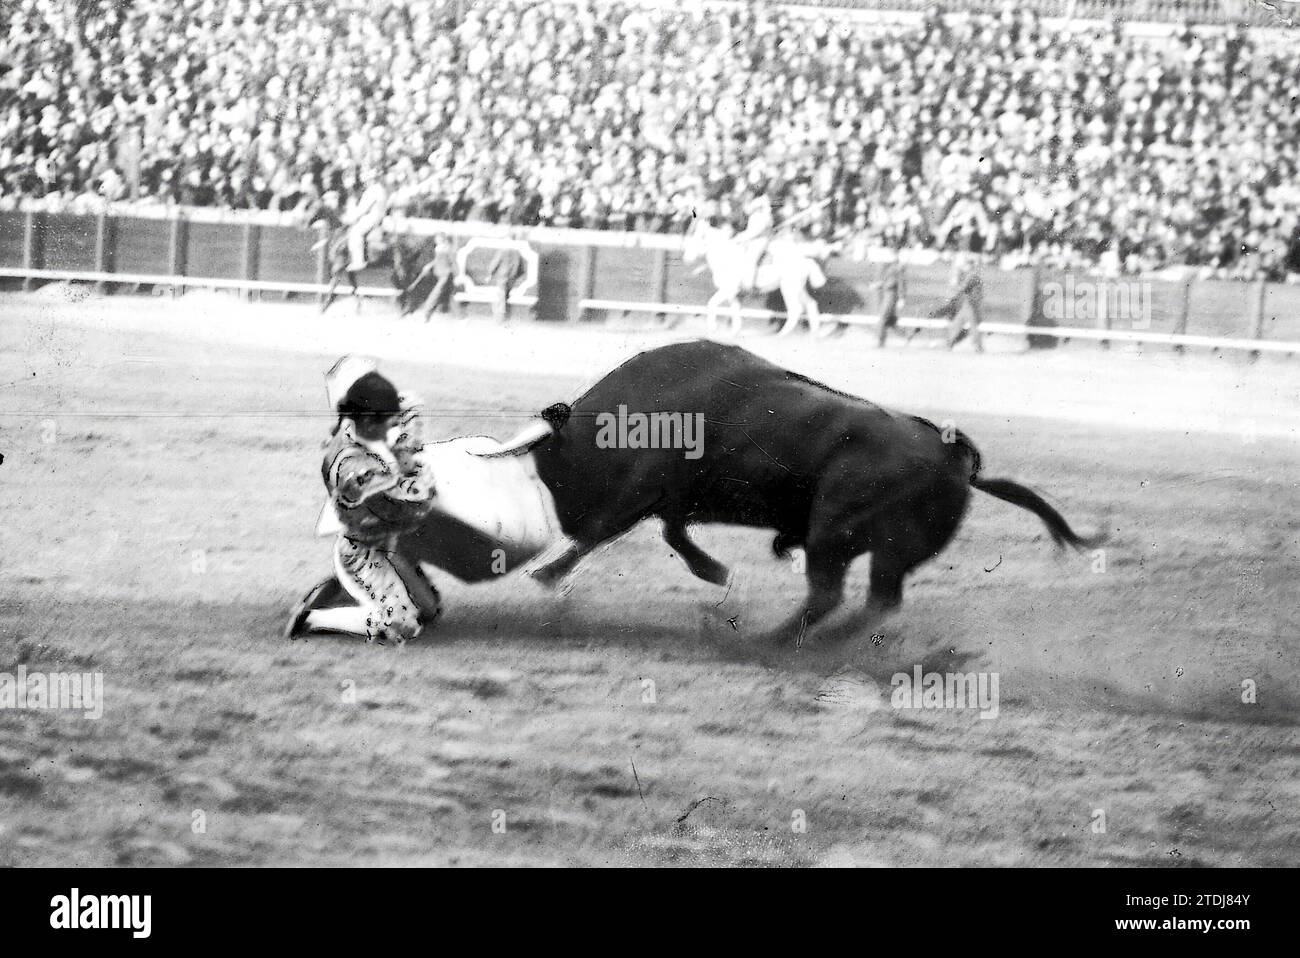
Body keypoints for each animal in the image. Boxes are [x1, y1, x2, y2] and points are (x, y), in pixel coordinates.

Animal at [317, 340, 1107, 647]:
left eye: (554, 472)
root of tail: (953, 453)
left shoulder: (640, 488)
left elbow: (604, 530)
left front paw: (547, 574)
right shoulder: (672, 497)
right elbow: (670, 532)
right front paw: (716, 572)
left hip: (835, 530)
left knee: (831, 592)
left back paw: (776, 641)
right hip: (883, 549)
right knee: (875, 599)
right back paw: (815, 643)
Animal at [681, 220, 832, 335]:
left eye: (698, 237)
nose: (686, 258)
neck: (726, 256)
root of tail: (803, 259)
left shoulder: (728, 290)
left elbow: (712, 303)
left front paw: (713, 327)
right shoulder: (734, 293)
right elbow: (735, 309)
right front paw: (735, 331)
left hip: (788, 289)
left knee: (796, 309)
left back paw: (782, 334)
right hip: (798, 289)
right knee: (811, 304)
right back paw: (814, 334)